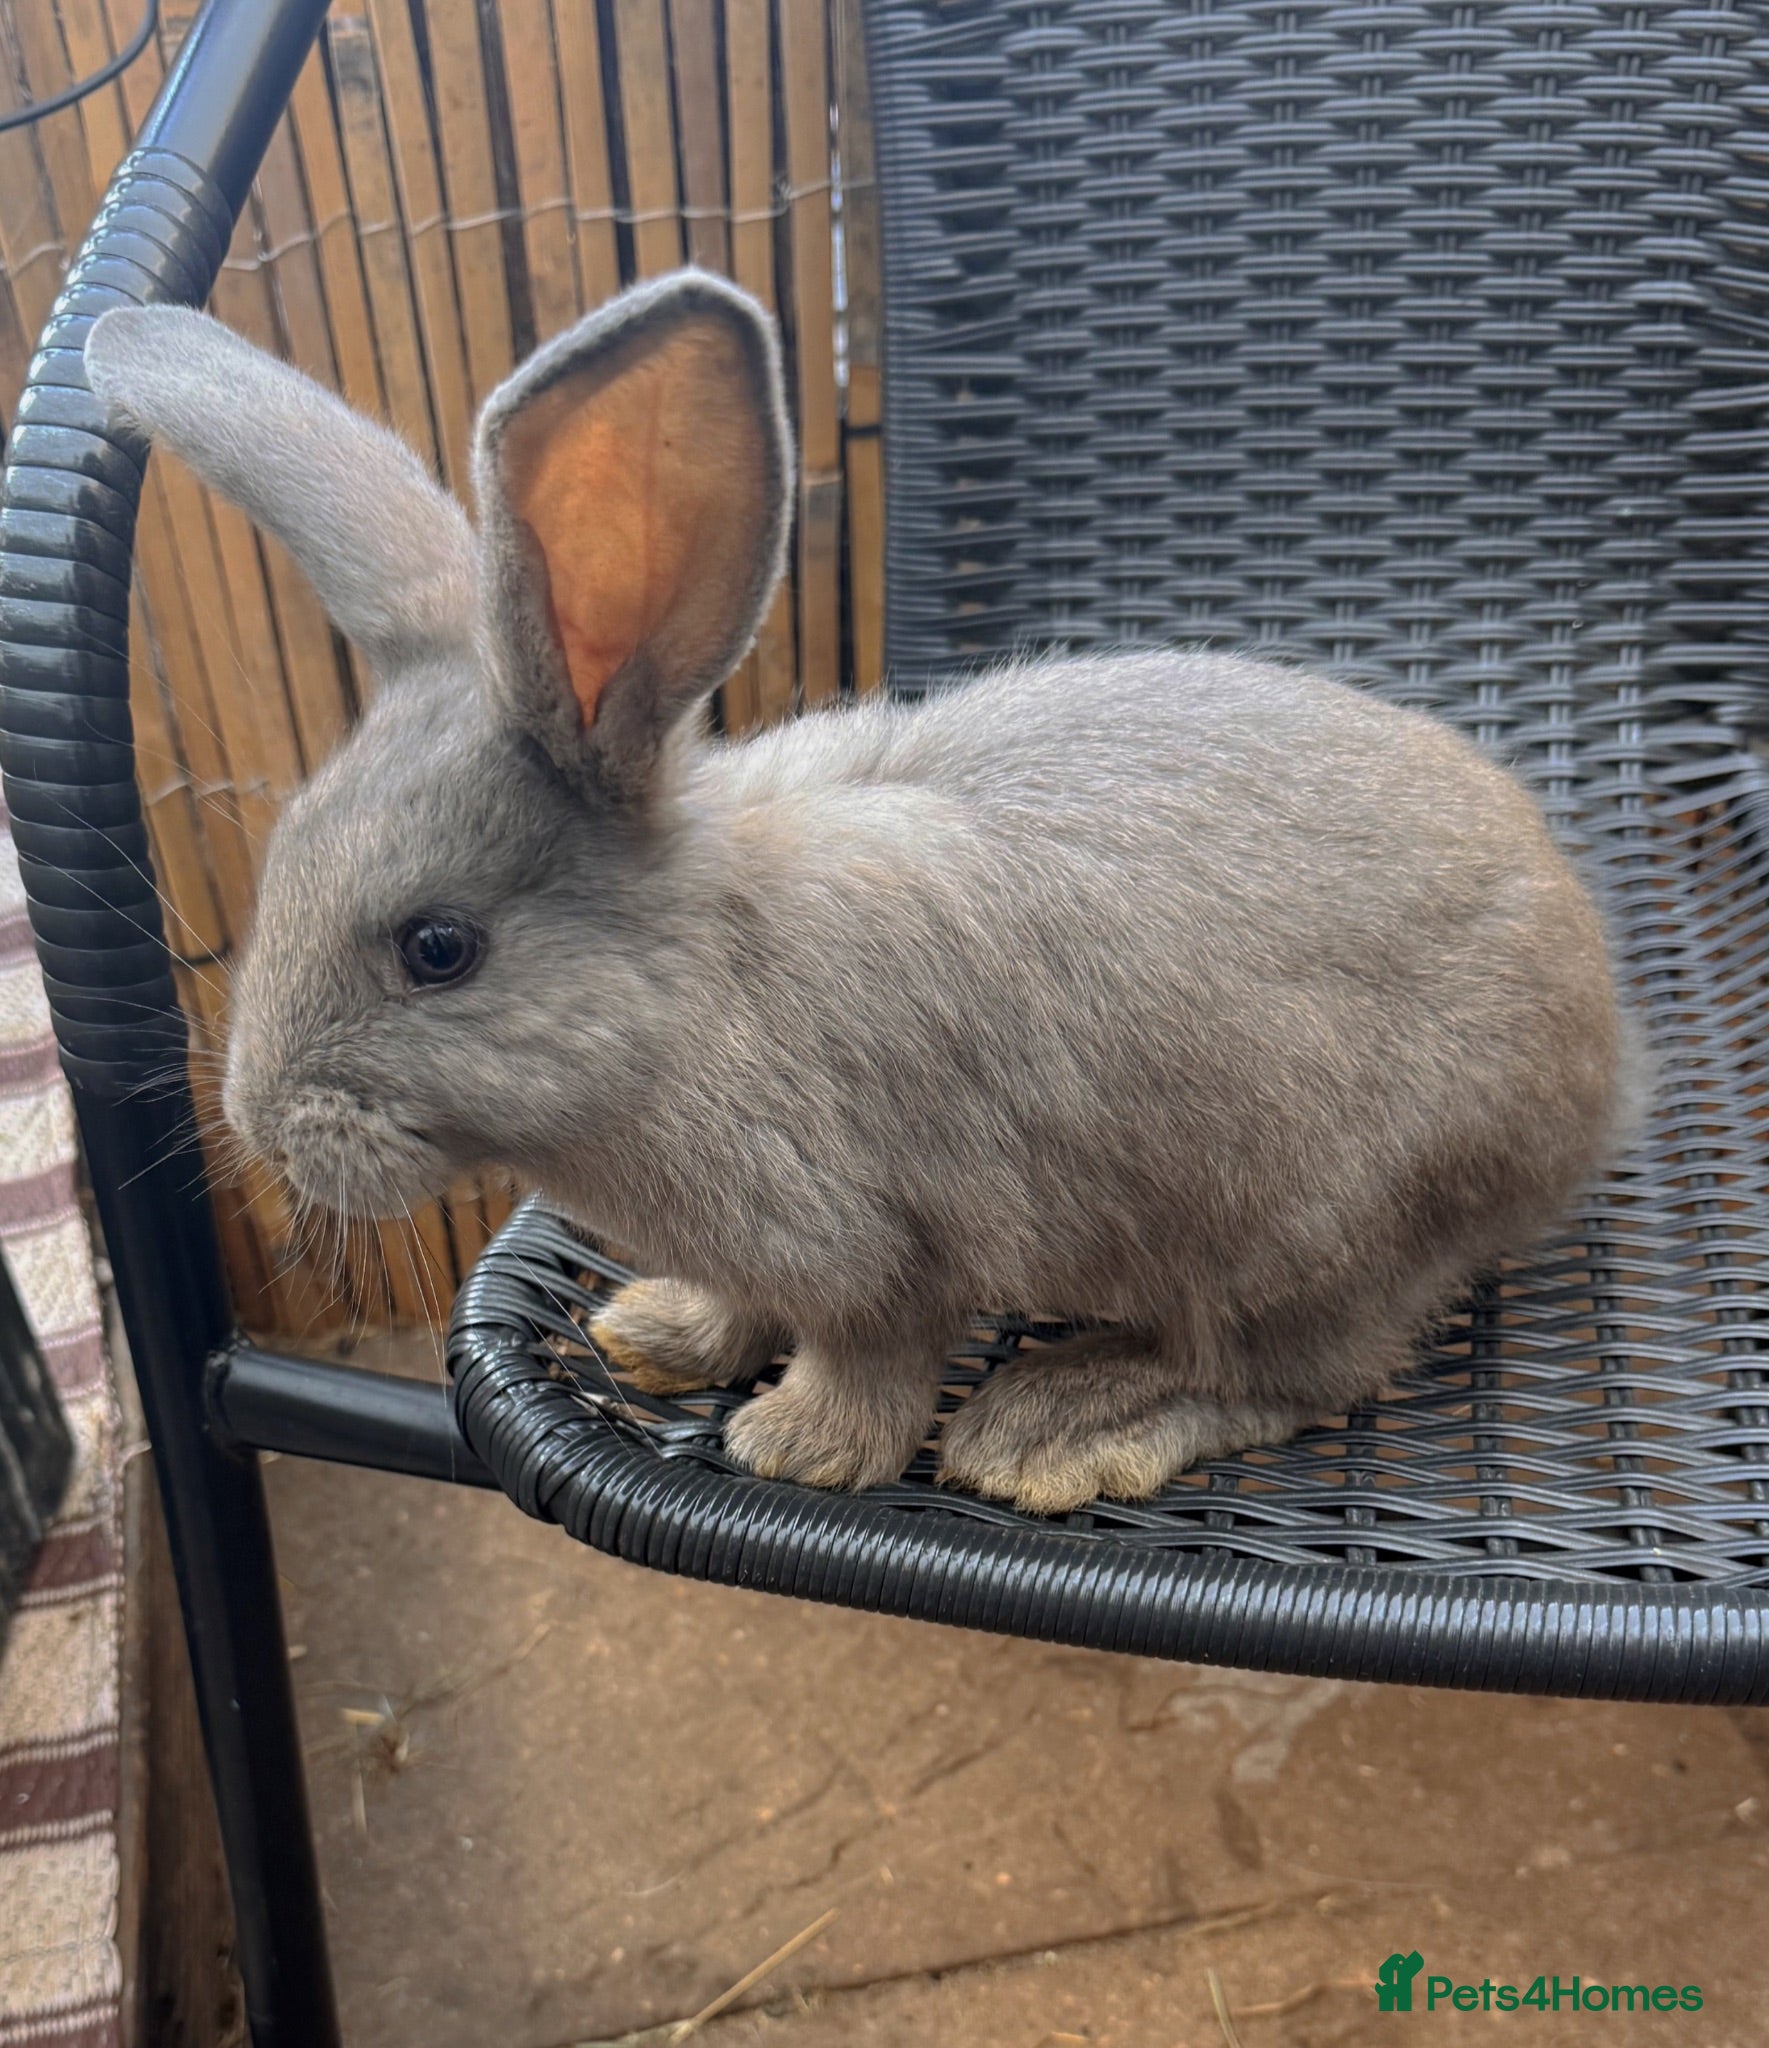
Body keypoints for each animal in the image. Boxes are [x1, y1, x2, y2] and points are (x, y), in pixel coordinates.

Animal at [83, 270, 1632, 1516]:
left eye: (439, 947)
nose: (259, 1121)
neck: (695, 993)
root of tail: (1597, 1075)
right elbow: (735, 1306)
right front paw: (660, 1336)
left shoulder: (878, 1244)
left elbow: (871, 1359)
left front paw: (793, 1445)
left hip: (1308, 1230)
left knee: (1296, 1375)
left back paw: (1056, 1426)